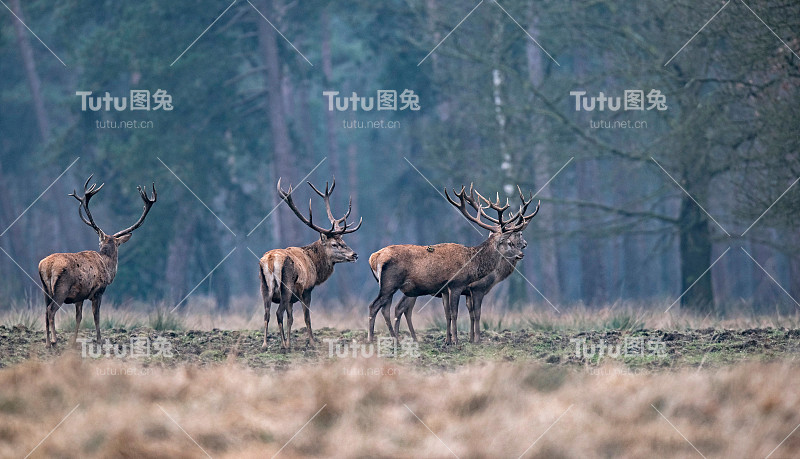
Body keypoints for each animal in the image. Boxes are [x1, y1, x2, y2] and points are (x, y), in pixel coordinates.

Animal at [38, 176, 156, 348]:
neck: (107, 267)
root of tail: (46, 266)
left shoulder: (79, 296)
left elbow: (79, 317)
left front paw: (74, 341)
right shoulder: (98, 291)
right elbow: (96, 316)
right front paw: (100, 340)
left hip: (45, 289)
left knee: (45, 311)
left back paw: (47, 342)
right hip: (61, 288)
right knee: (51, 310)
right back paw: (54, 340)